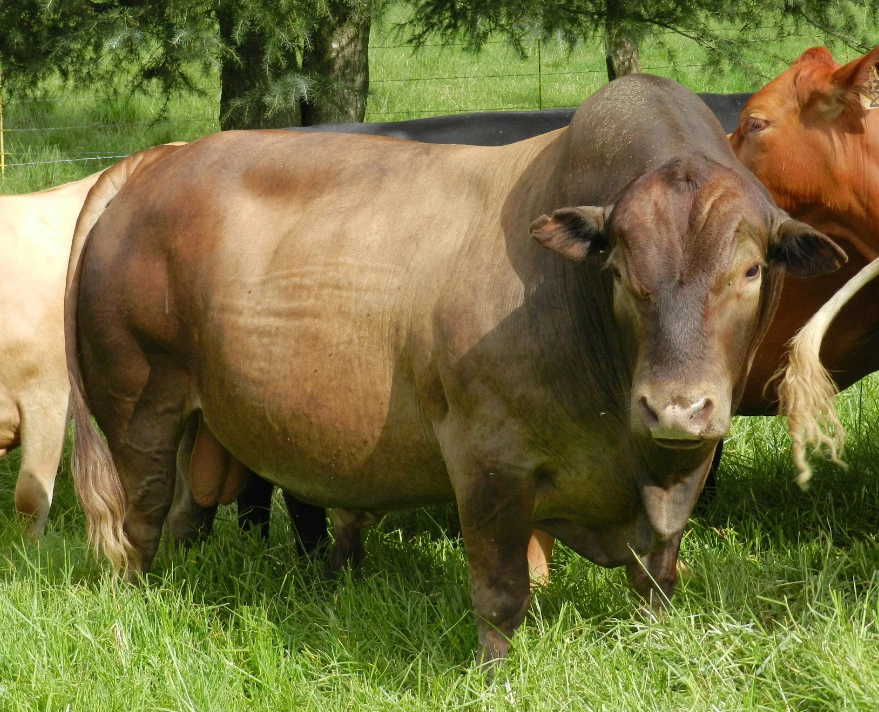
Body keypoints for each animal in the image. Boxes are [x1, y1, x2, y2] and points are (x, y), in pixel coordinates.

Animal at [65, 74, 842, 669]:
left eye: (749, 270)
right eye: (620, 271)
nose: (676, 408)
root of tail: (150, 166)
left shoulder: (681, 475)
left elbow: (657, 575)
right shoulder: (488, 462)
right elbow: (499, 594)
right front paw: (492, 676)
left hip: (207, 426)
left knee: (191, 513)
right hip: (141, 409)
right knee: (139, 520)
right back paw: (136, 604)